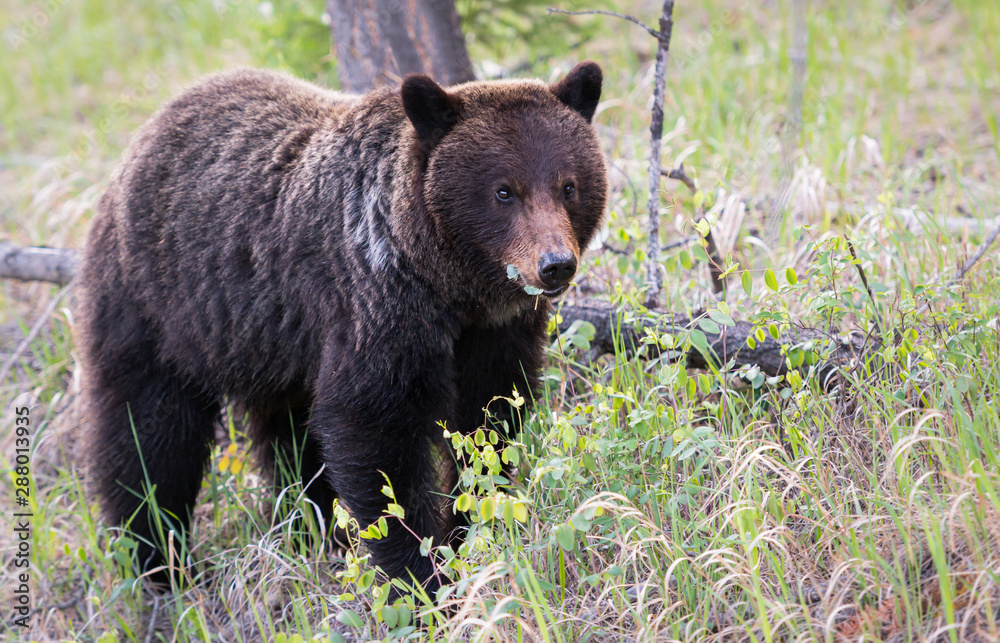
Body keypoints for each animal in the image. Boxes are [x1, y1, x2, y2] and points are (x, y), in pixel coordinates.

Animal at [76, 61, 608, 592]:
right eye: (503, 190)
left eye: (568, 185)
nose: (555, 265)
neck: (450, 285)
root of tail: (143, 137)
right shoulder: (375, 305)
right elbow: (375, 435)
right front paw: (419, 573)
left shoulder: (495, 332)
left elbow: (489, 419)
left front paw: (468, 528)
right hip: (158, 305)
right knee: (150, 433)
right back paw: (155, 557)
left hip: (269, 341)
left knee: (288, 433)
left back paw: (311, 529)